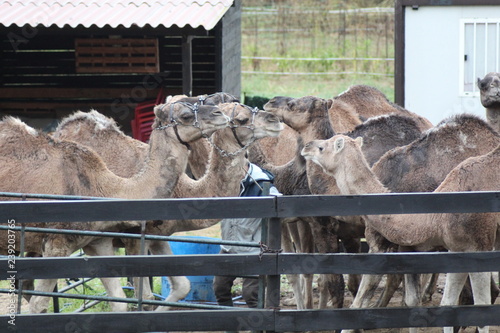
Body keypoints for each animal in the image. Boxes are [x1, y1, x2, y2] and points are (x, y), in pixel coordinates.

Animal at [0, 102, 229, 312]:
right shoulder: (57, 245)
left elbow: (120, 302)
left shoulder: (97, 241)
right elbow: (37, 307)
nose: (221, 113)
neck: (102, 187)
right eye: (186, 115)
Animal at [55, 102, 286, 308]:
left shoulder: (159, 236)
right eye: (242, 119)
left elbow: (182, 286)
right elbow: (145, 297)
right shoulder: (133, 237)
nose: (275, 120)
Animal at [300, 134, 500, 332]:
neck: (437, 216)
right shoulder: (457, 248)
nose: (306, 146)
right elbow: (446, 304)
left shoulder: (479, 246)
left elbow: (482, 311)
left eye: (322, 147)